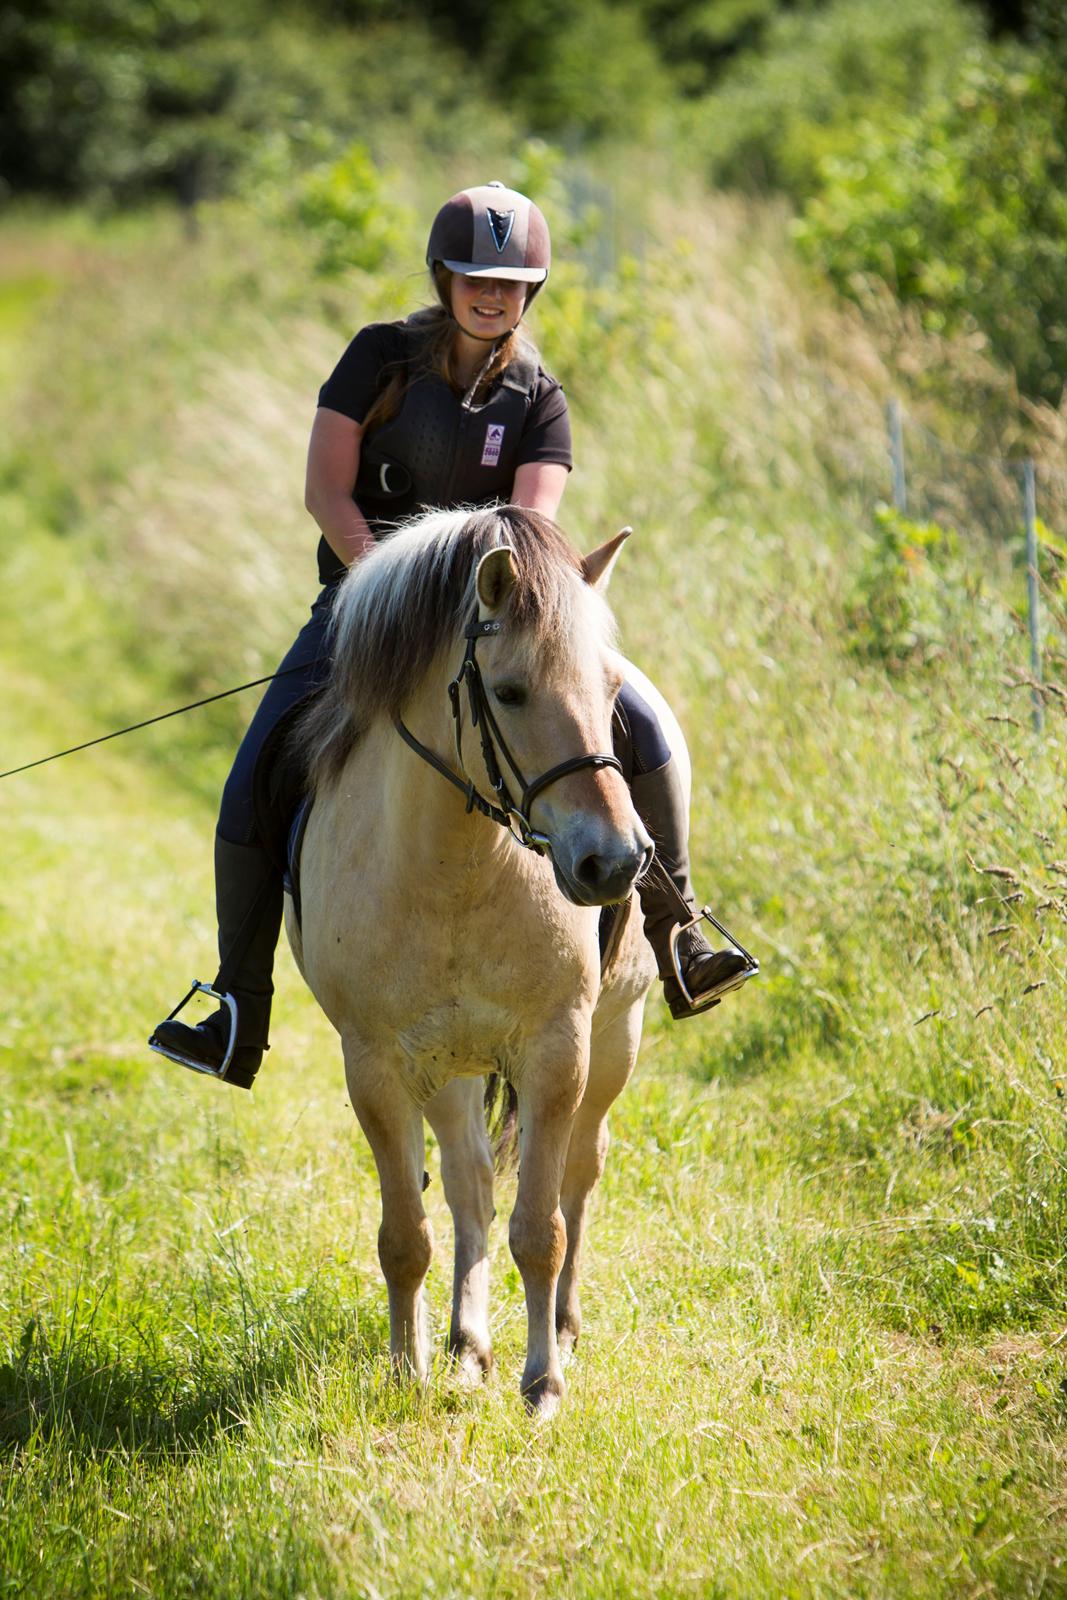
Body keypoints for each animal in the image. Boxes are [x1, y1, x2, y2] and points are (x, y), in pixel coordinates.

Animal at [287, 505, 681, 1420]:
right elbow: (407, 1234)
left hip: (615, 1040)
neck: (455, 868)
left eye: (609, 691)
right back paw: (467, 1345)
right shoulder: (377, 1063)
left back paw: (561, 1329)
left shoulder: (557, 1048)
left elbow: (541, 1228)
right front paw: (407, 1372)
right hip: (448, 1064)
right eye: (508, 692)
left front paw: (544, 1386)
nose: (615, 863)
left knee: (579, 1174)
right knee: (468, 1182)